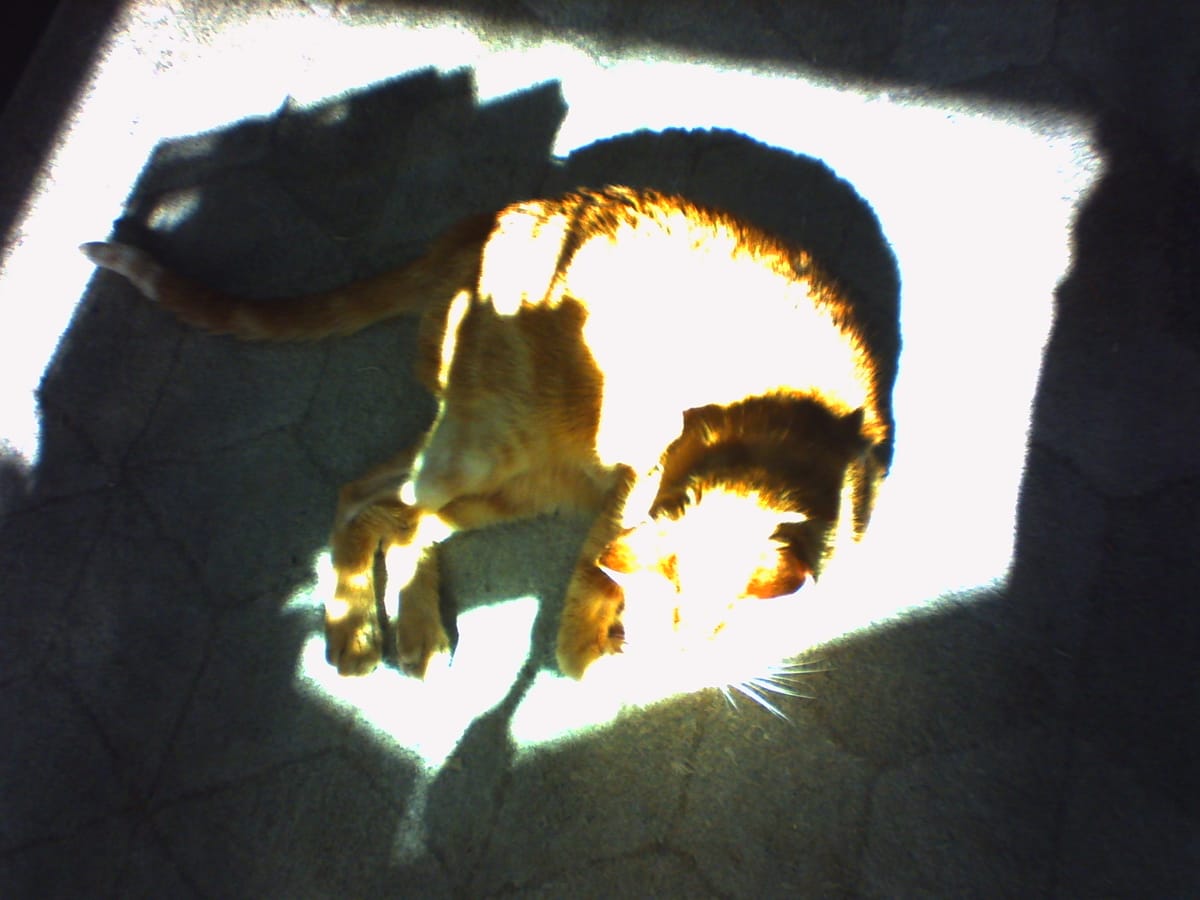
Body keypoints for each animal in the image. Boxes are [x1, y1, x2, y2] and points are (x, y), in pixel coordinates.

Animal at [82, 192, 892, 681]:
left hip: (519, 480)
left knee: (378, 509)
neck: (777, 437)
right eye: (665, 625)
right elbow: (584, 606)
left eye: (716, 634)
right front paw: (592, 657)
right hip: (479, 453)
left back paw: (390, 631)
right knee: (383, 506)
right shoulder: (629, 496)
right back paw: (364, 631)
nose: (671, 663)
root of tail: (482, 225)